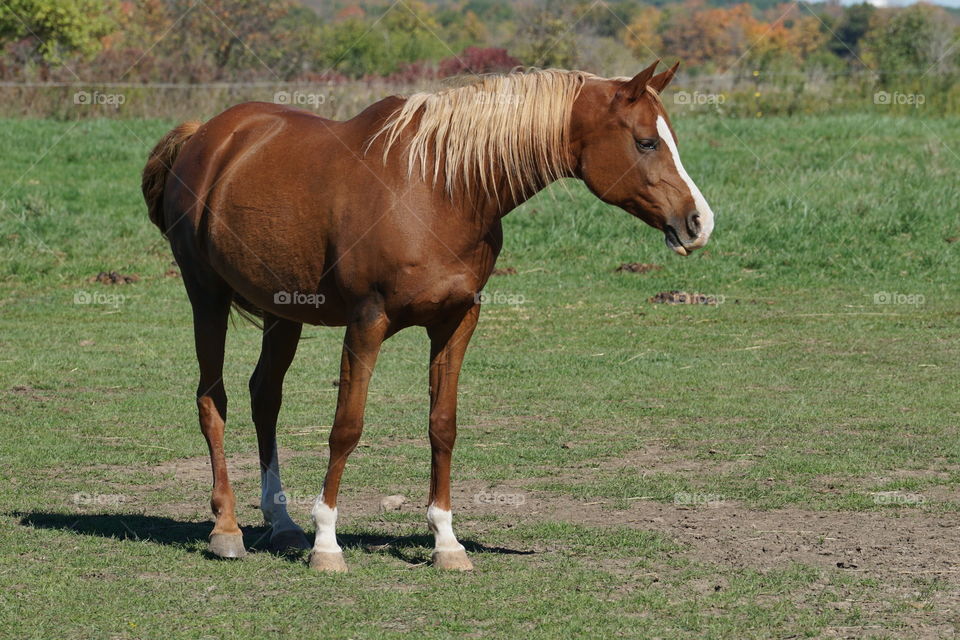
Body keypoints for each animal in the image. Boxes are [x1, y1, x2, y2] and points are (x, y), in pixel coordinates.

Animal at [141, 59, 714, 572]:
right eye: (646, 142)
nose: (699, 222)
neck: (441, 189)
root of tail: (204, 137)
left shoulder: (456, 322)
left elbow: (443, 426)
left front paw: (446, 542)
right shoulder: (366, 323)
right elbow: (346, 426)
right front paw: (327, 544)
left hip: (284, 311)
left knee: (265, 398)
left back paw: (281, 524)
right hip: (206, 296)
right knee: (213, 400)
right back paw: (227, 529)